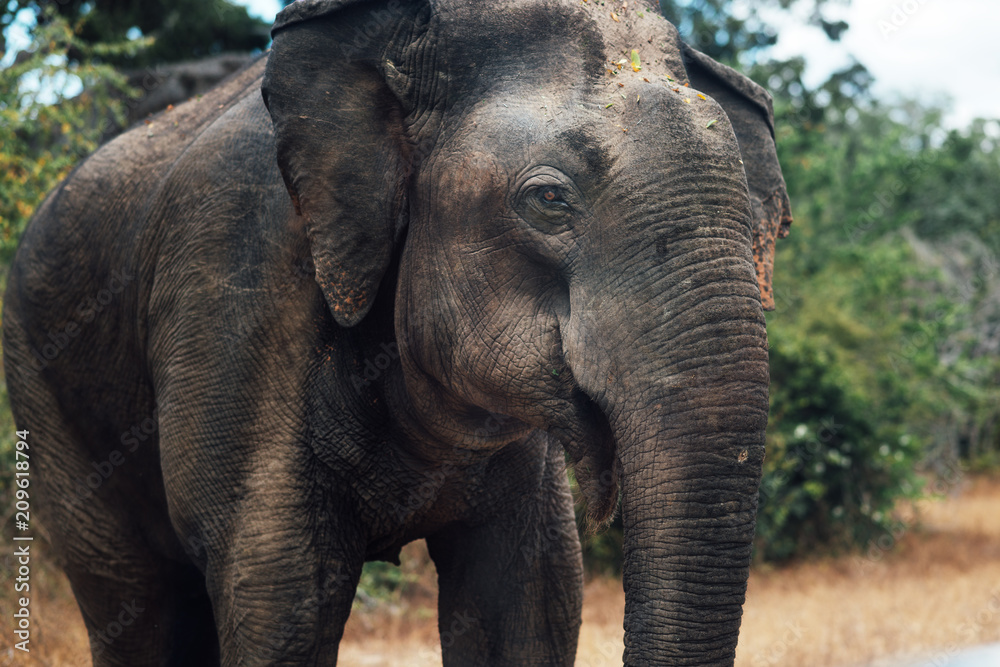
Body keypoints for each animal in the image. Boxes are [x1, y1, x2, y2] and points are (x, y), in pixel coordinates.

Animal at [3, 0, 791, 664]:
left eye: (757, 223)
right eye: (548, 200)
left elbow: (530, 598)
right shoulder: (230, 270)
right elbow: (280, 589)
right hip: (43, 393)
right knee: (138, 603)